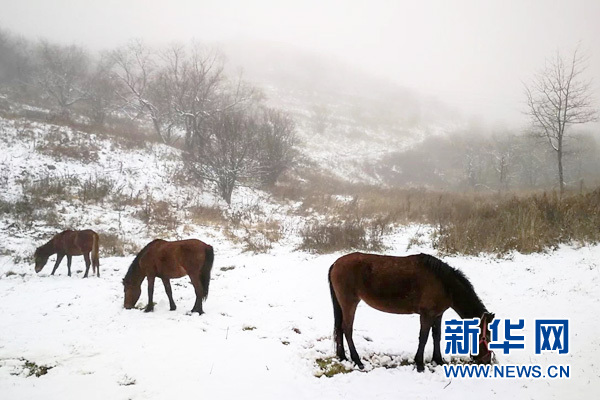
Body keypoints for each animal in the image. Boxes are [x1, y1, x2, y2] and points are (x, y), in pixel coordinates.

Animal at [330, 253, 494, 372]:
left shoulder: (438, 314)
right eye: (487, 336)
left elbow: (436, 336)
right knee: (347, 329)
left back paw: (343, 357)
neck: (444, 284)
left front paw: (438, 360)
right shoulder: (426, 314)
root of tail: (335, 264)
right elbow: (424, 337)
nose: (487, 361)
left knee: (340, 329)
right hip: (350, 303)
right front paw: (419, 364)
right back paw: (357, 361)